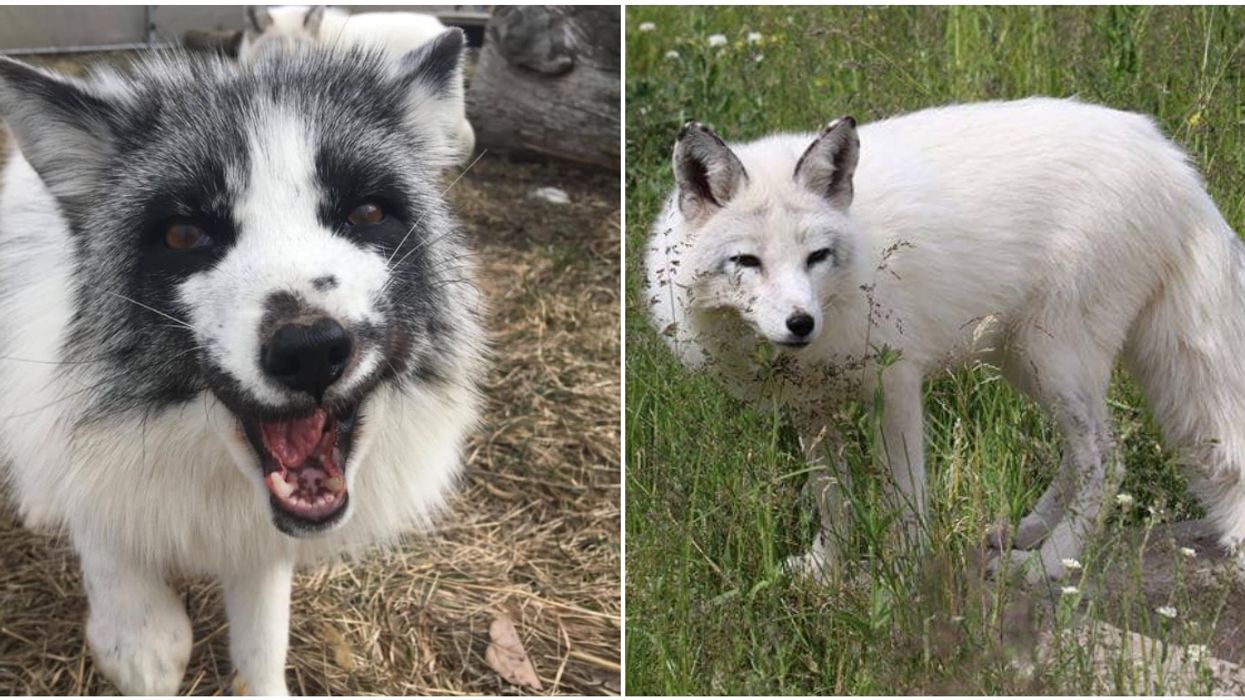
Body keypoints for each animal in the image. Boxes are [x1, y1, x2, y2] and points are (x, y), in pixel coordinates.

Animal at [645, 97, 1245, 582]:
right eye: (747, 261)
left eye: (816, 257)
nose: (800, 323)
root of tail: (1172, 162)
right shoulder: (811, 407)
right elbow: (831, 497)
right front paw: (827, 568)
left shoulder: (894, 384)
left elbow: (906, 497)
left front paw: (904, 579)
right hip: (1026, 363)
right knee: (1084, 457)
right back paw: (1029, 530)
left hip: (1056, 361)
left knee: (1107, 459)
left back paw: (1050, 563)